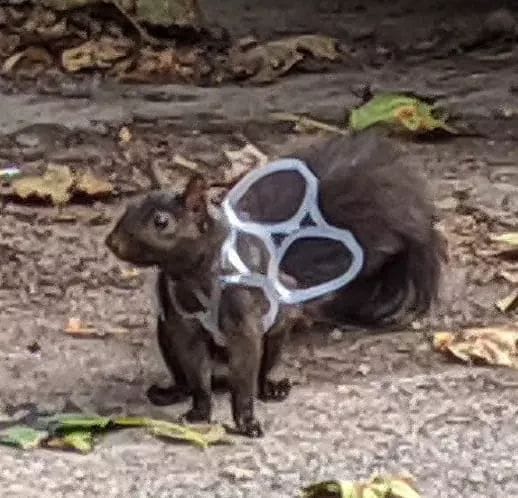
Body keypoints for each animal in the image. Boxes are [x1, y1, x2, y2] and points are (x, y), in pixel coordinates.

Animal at [105, 131, 446, 436]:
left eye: (161, 222)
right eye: (127, 208)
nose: (112, 242)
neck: (192, 275)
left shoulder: (244, 319)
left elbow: (243, 376)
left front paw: (245, 421)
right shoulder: (181, 323)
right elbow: (197, 374)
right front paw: (199, 412)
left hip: (277, 329)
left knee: (256, 373)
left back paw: (270, 388)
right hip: (165, 333)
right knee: (188, 378)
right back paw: (172, 391)